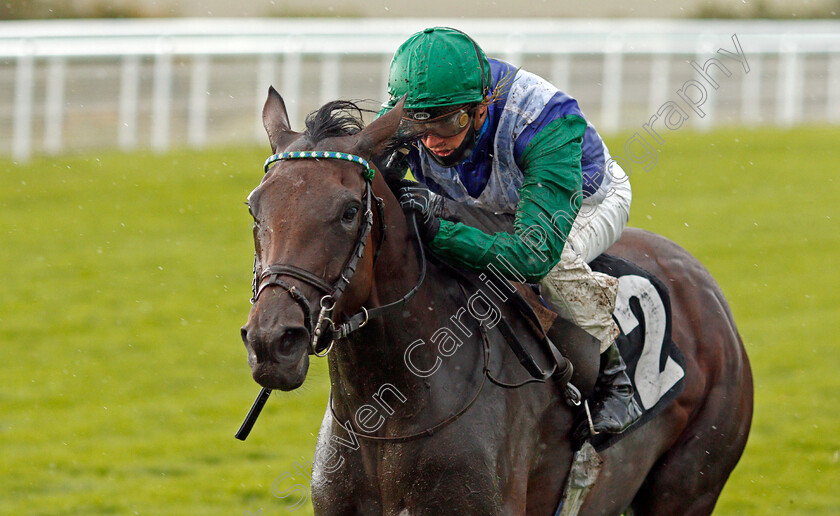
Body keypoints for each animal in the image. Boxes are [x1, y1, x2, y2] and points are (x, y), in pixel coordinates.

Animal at [238, 86, 756, 512]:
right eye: (254, 207)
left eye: (349, 211)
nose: (272, 342)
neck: (388, 419)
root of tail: (704, 284)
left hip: (690, 483)